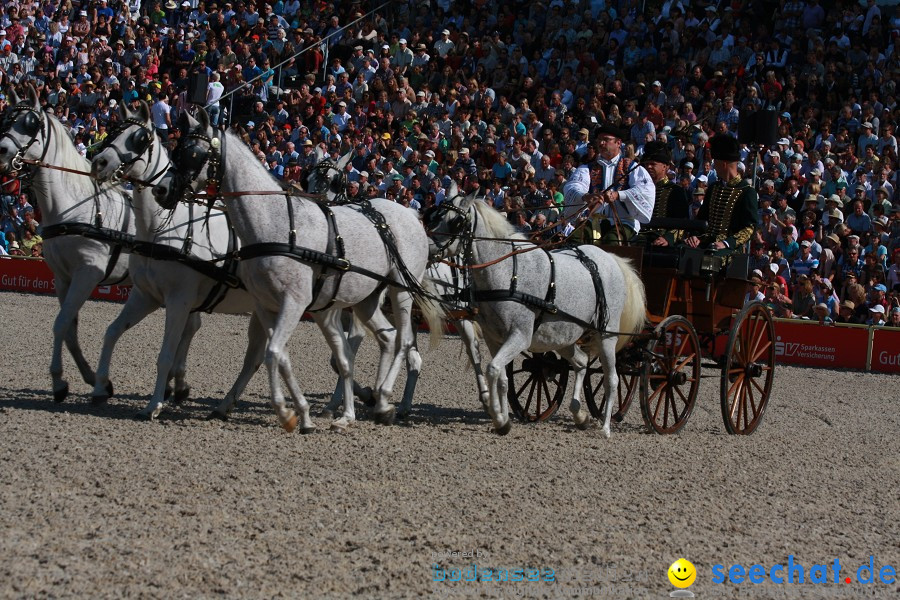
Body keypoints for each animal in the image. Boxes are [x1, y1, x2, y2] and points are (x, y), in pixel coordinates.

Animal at [0, 84, 135, 404]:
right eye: (7, 119)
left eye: (30, 123)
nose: (2, 151)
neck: (75, 206)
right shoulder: (63, 277)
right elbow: (69, 329)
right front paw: (93, 379)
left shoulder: (88, 273)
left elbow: (60, 324)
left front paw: (59, 382)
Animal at [90, 102, 268, 418]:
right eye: (112, 131)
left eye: (139, 138)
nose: (99, 162)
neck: (161, 230)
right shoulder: (145, 296)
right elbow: (112, 332)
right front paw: (100, 388)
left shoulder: (179, 301)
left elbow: (165, 355)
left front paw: (154, 405)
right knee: (255, 358)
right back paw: (225, 405)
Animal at [153, 108, 444, 434]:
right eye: (176, 150)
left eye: (193, 153)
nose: (161, 190)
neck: (277, 224)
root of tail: (411, 214)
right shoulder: (267, 305)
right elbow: (279, 356)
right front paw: (302, 413)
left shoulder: (296, 302)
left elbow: (273, 353)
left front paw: (287, 414)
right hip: (367, 299)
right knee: (389, 338)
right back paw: (376, 404)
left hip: (400, 291)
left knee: (404, 341)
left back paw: (382, 399)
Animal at [426, 196, 644, 436]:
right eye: (434, 216)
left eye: (456, 222)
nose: (427, 248)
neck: (507, 273)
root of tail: (611, 258)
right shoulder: (494, 338)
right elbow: (502, 376)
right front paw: (503, 419)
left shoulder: (520, 336)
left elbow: (493, 369)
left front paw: (498, 417)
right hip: (563, 338)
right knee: (581, 362)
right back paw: (579, 414)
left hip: (606, 335)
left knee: (611, 379)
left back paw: (605, 427)